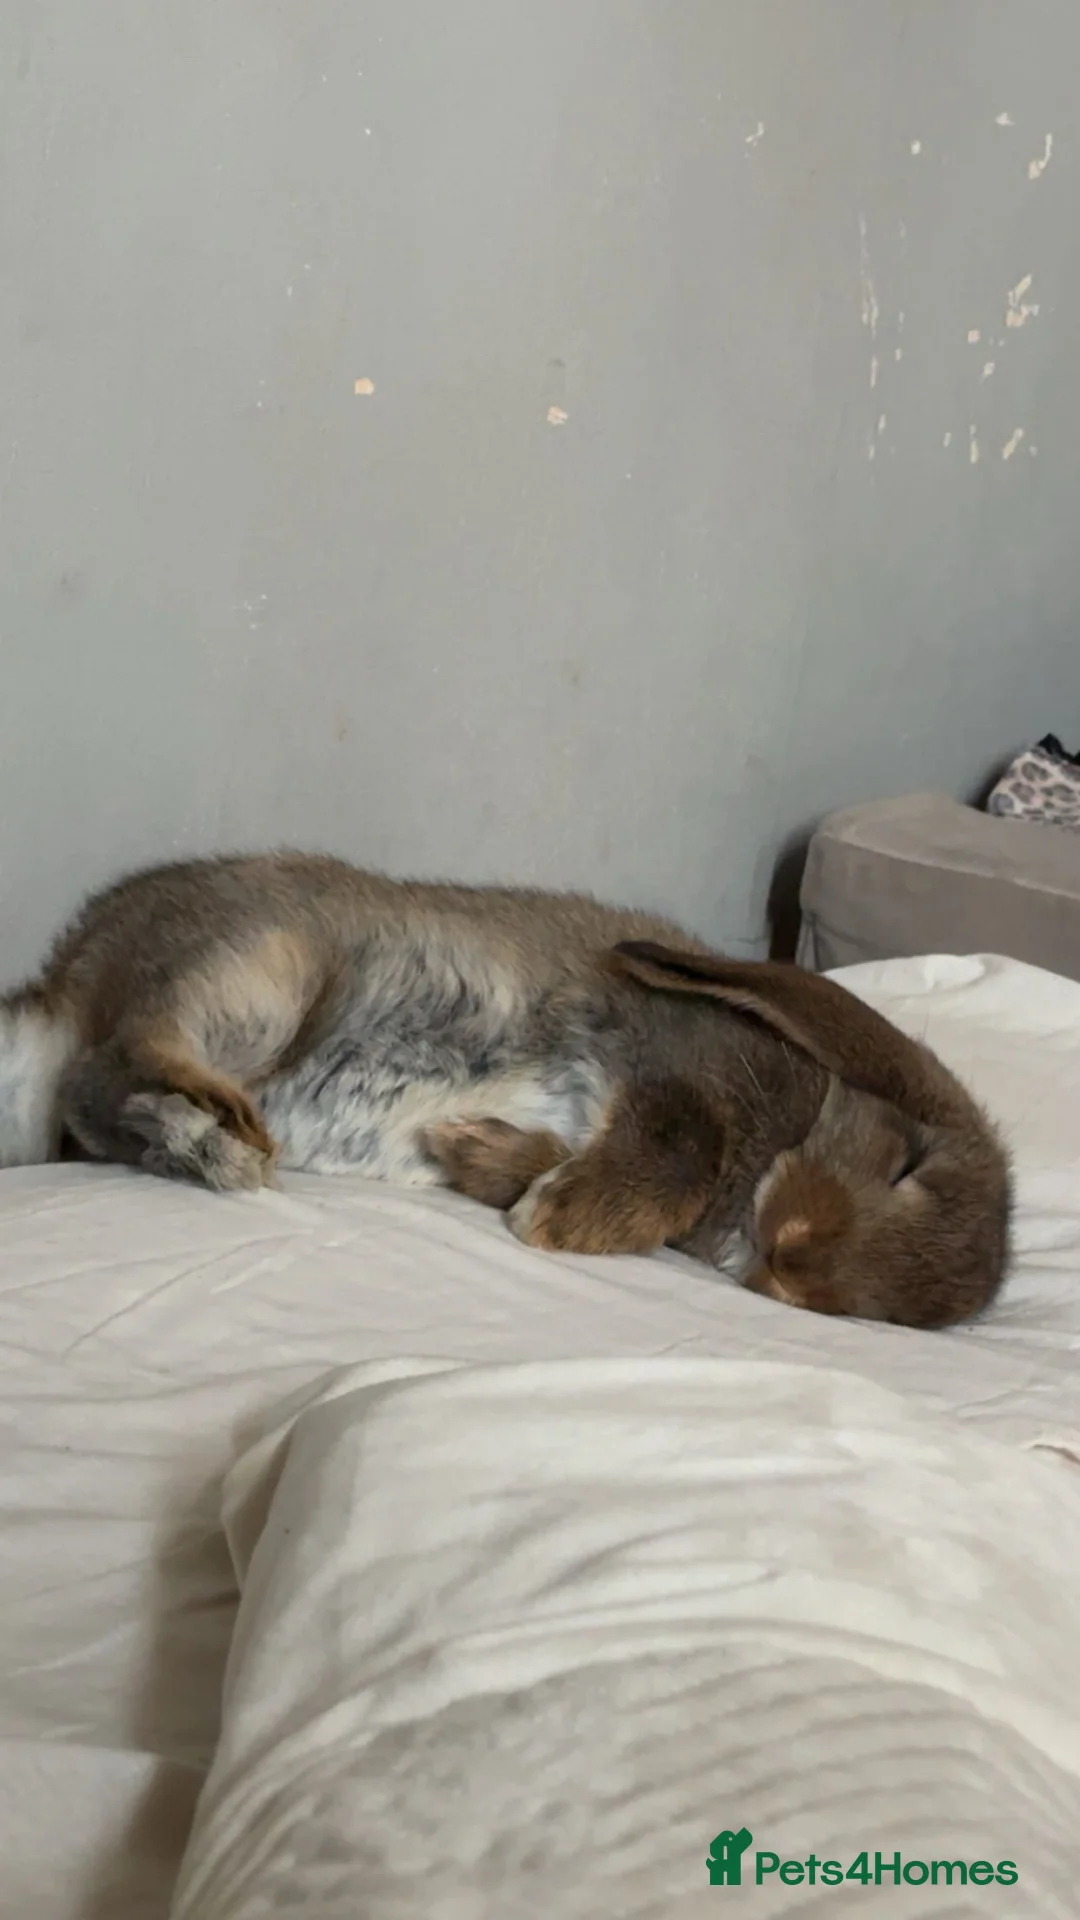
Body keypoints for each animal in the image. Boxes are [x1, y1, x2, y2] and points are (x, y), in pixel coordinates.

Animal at [0, 853, 1010, 1326]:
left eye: (887, 1314)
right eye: (907, 1162)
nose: (792, 1262)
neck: (803, 1111)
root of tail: (68, 981)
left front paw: (475, 1154)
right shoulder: (676, 1062)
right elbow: (679, 1145)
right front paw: (557, 1219)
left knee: (101, 1103)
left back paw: (199, 1145)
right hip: (261, 977)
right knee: (117, 1060)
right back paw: (224, 1125)